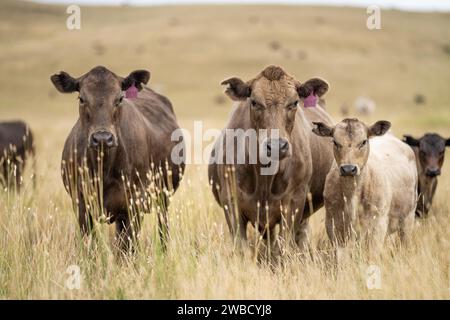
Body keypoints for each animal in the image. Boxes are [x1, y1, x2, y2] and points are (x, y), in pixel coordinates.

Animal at [49, 65, 183, 252]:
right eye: (81, 98)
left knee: (162, 226)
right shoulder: (81, 203)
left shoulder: (134, 203)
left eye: (120, 98)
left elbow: (127, 247)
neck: (103, 169)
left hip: (163, 196)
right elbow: (90, 244)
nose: (102, 138)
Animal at [208, 65, 334, 252]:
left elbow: (282, 247)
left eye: (294, 102)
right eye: (254, 102)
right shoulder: (230, 202)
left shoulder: (294, 202)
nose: (276, 145)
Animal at [312, 119, 418, 256]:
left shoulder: (378, 225)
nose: (348, 169)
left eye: (363, 141)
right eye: (335, 141)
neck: (352, 196)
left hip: (408, 219)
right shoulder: (334, 225)